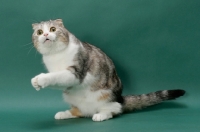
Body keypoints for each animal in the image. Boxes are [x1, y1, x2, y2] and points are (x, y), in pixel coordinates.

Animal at [30, 18, 185, 121]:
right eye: (39, 32)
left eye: (53, 29)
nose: (45, 35)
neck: (55, 54)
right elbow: (58, 77)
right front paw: (37, 83)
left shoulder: (76, 72)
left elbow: (57, 76)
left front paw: (41, 79)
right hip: (71, 97)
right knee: (79, 112)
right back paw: (64, 113)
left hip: (106, 96)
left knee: (115, 109)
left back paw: (101, 115)